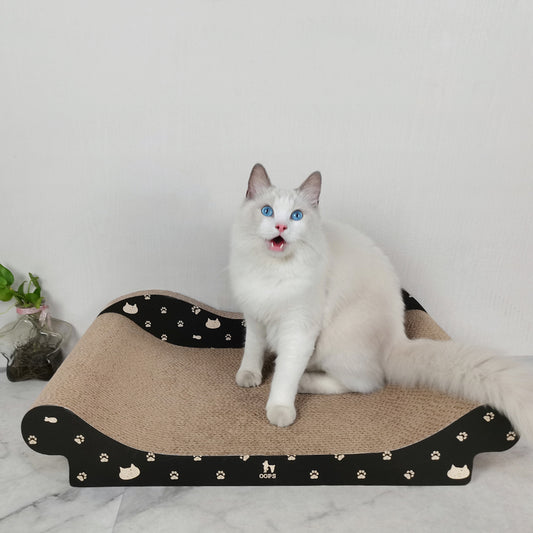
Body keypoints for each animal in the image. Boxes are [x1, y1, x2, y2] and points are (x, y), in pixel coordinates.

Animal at [229, 163, 533, 441]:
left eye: (296, 216)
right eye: (267, 211)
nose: (280, 226)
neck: (271, 271)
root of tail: (398, 340)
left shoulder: (298, 329)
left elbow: (284, 376)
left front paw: (279, 410)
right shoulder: (255, 316)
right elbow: (252, 350)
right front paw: (249, 376)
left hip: (336, 341)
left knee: (365, 383)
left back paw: (306, 380)